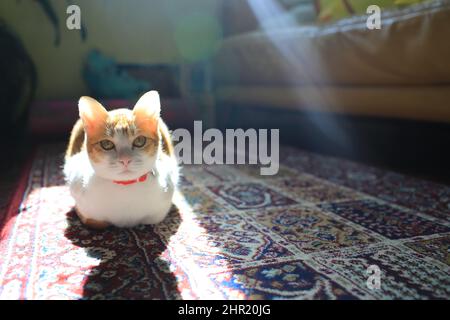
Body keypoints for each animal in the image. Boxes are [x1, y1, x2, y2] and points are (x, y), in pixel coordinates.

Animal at [63, 91, 179, 229]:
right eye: (106, 144)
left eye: (140, 141)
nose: (125, 160)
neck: (125, 188)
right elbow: (94, 221)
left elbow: (151, 220)